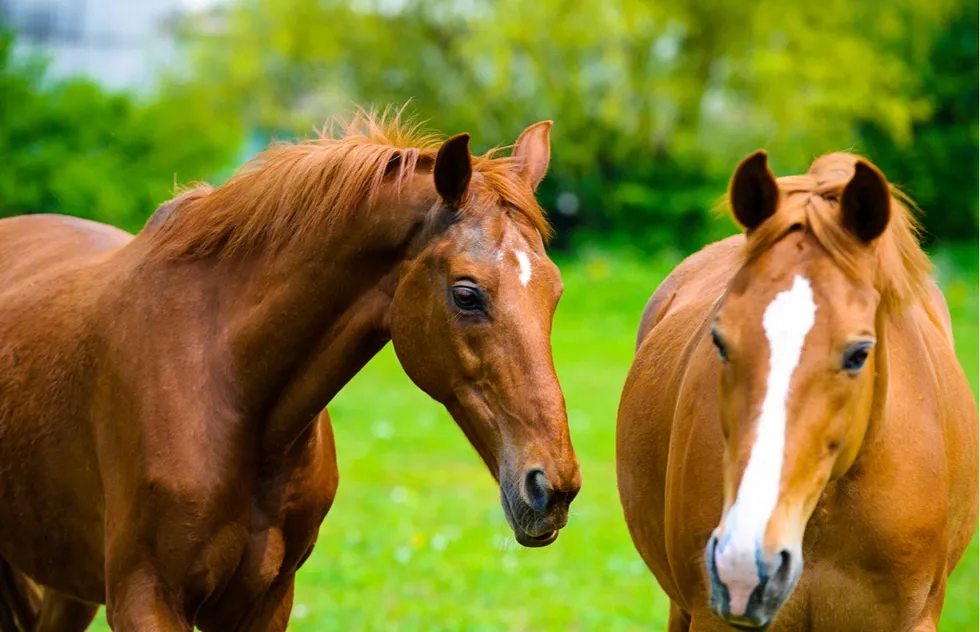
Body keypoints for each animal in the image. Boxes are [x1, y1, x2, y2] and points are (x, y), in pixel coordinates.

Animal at [0, 110, 581, 631]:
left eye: (555, 292)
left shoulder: (266, 600)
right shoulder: (143, 599)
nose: (552, 488)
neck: (227, 383)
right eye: (466, 294)